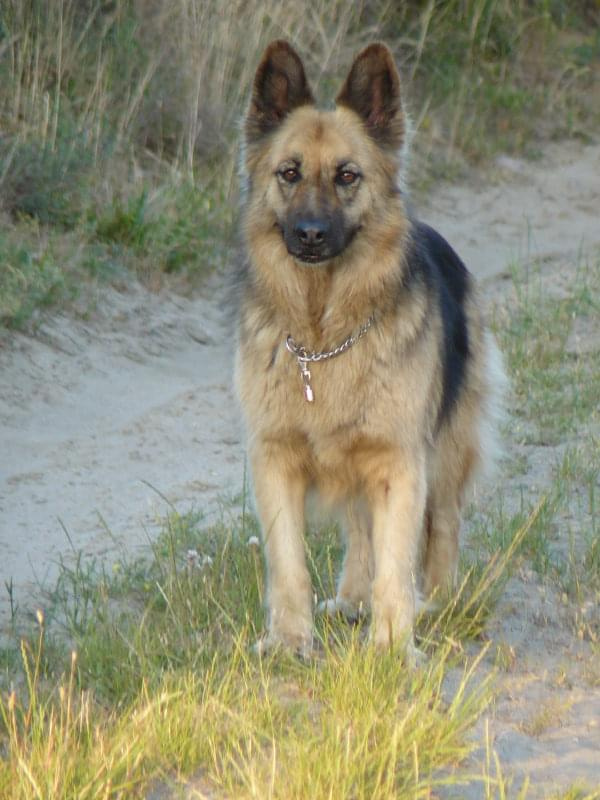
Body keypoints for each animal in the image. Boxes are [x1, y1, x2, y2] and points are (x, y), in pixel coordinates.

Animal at [234, 40, 502, 660]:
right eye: (289, 173)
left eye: (347, 176)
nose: (309, 234)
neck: (323, 337)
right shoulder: (276, 459)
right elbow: (289, 564)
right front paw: (289, 642)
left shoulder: (401, 461)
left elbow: (398, 563)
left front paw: (393, 651)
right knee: (360, 527)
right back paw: (352, 600)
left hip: (445, 453)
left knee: (444, 524)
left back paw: (440, 603)